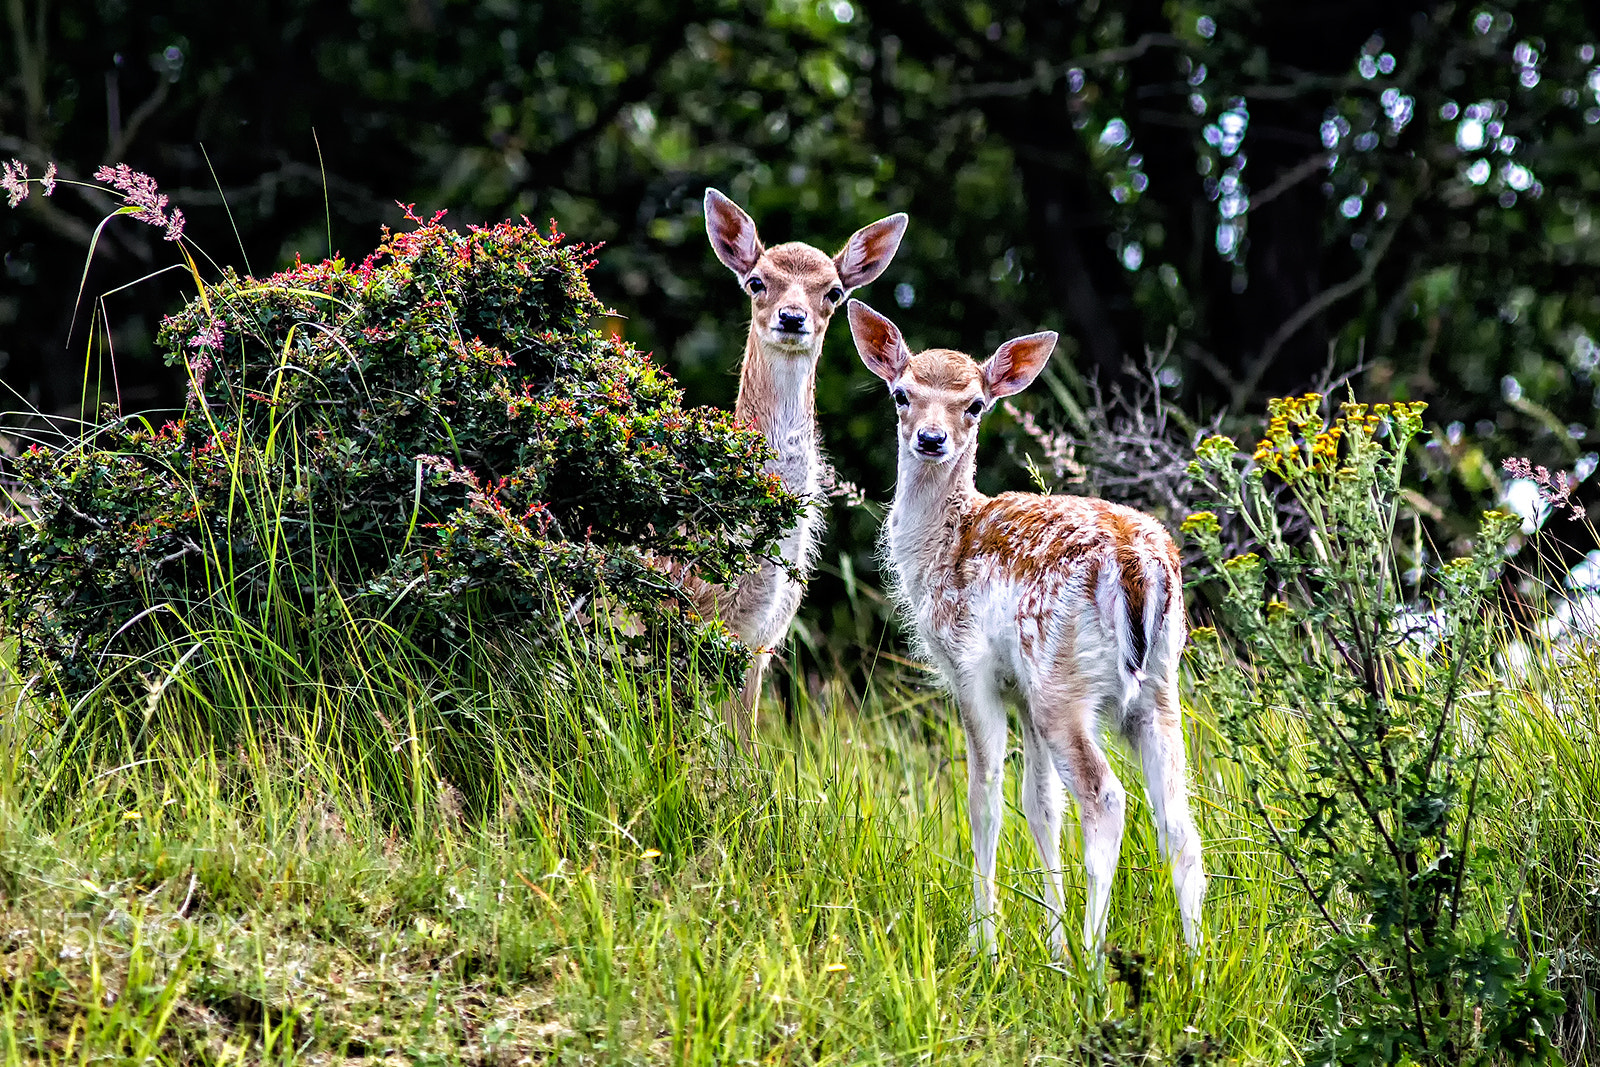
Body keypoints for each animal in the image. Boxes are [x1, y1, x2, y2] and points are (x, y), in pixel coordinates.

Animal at [846, 298, 1204, 960]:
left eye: (974, 404)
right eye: (902, 394)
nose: (931, 439)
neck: (939, 548)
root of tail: (1138, 564)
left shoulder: (971, 670)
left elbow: (984, 797)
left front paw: (987, 944)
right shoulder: (1020, 690)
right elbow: (1041, 808)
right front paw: (1050, 944)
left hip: (1062, 677)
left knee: (1107, 797)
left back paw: (1093, 959)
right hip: (1156, 685)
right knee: (1177, 818)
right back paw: (1195, 961)